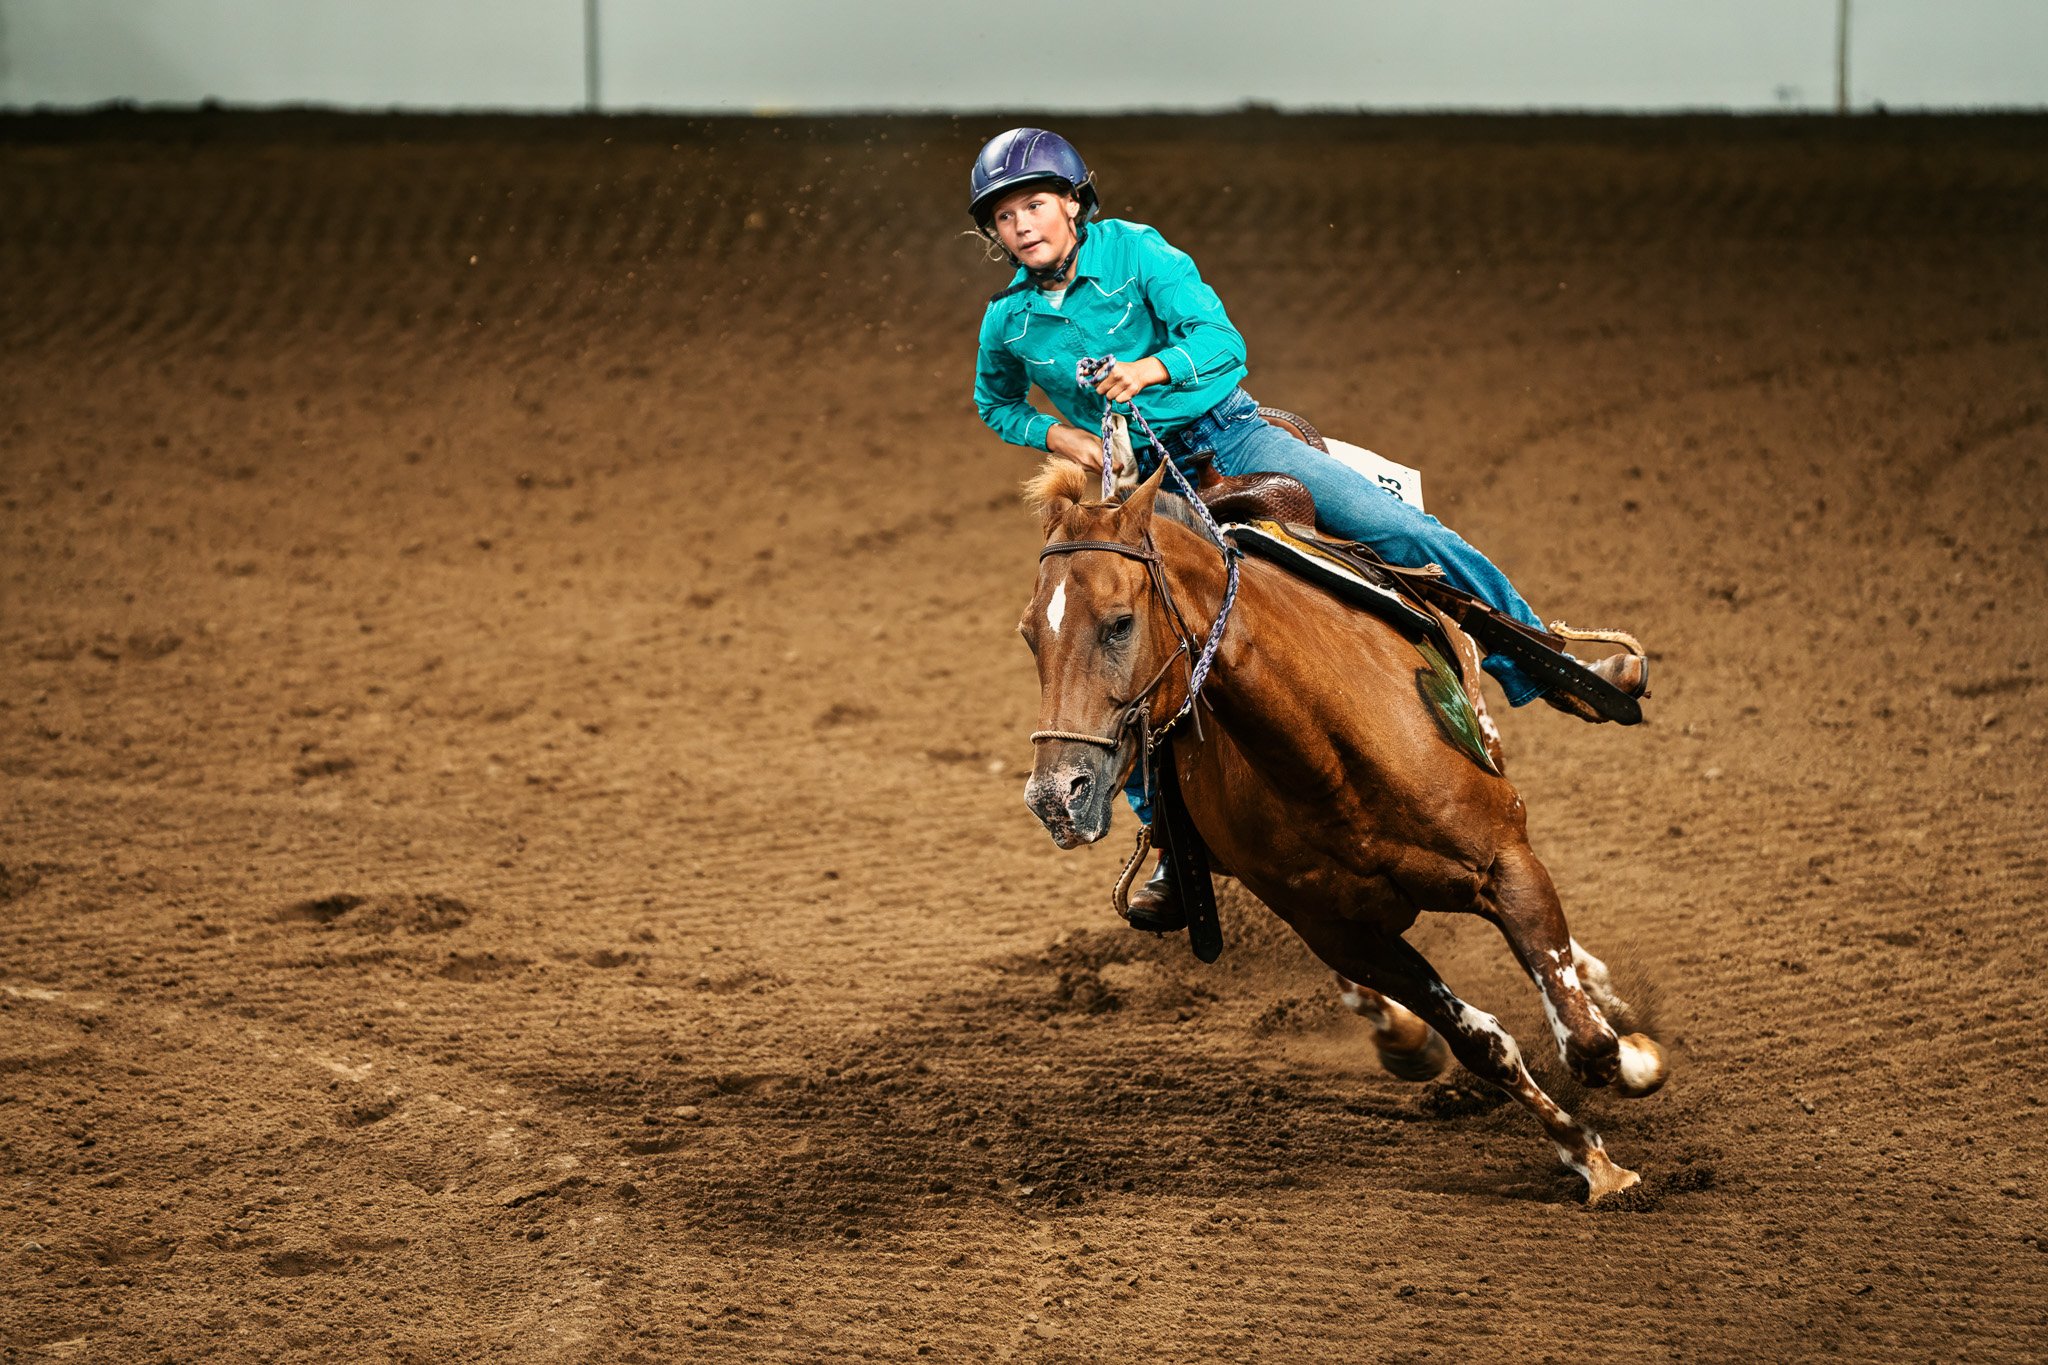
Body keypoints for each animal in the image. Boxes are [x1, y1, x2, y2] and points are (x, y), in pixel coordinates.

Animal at [1017, 458, 1668, 1203]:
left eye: (1119, 623)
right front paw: (1590, 1157)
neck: (1326, 752)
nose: (1054, 797)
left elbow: (1582, 1037)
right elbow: (1484, 1044)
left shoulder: (1505, 860)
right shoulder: (1343, 937)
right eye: (1030, 634)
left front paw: (1631, 1061)